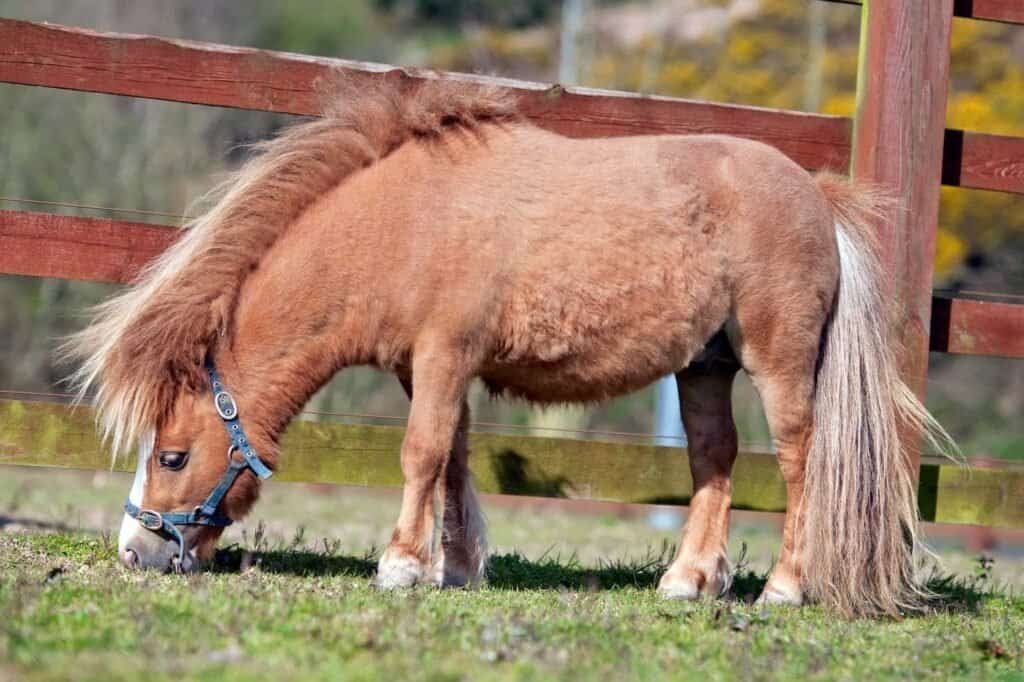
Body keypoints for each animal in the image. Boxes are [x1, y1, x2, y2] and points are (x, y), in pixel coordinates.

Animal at [64, 74, 950, 614]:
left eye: (173, 455)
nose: (136, 551)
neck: (401, 222)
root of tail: (818, 194)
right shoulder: (428, 369)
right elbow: (452, 459)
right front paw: (452, 568)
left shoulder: (443, 356)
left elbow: (421, 455)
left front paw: (400, 565)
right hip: (704, 368)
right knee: (714, 461)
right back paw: (688, 579)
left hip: (778, 361)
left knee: (800, 459)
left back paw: (786, 587)